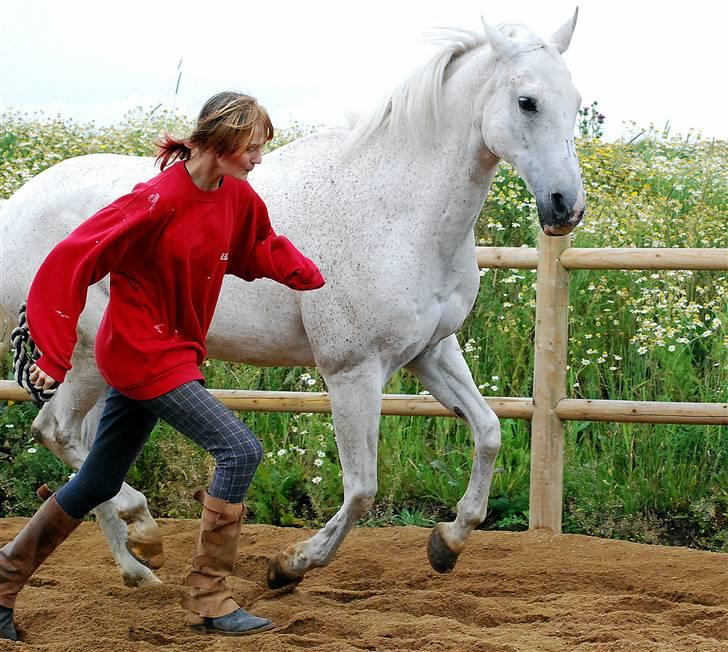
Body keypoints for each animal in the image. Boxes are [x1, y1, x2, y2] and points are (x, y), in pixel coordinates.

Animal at [0, 12, 584, 588]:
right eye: (527, 101)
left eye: (576, 100)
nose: (566, 207)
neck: (398, 211)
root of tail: (19, 205)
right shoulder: (353, 371)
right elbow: (362, 488)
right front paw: (291, 564)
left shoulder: (431, 352)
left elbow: (488, 432)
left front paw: (448, 543)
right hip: (87, 356)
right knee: (58, 431)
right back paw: (141, 530)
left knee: (86, 453)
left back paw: (140, 565)